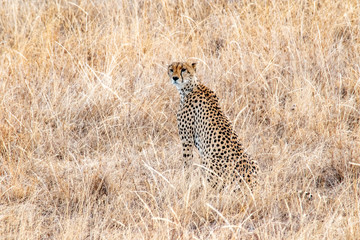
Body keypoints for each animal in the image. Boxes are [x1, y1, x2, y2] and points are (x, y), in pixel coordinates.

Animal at [169, 62, 258, 190]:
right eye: (171, 69)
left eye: (183, 70)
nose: (175, 78)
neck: (190, 87)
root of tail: (251, 183)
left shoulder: (186, 140)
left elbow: (187, 163)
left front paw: (186, 182)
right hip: (254, 162)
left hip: (209, 162)